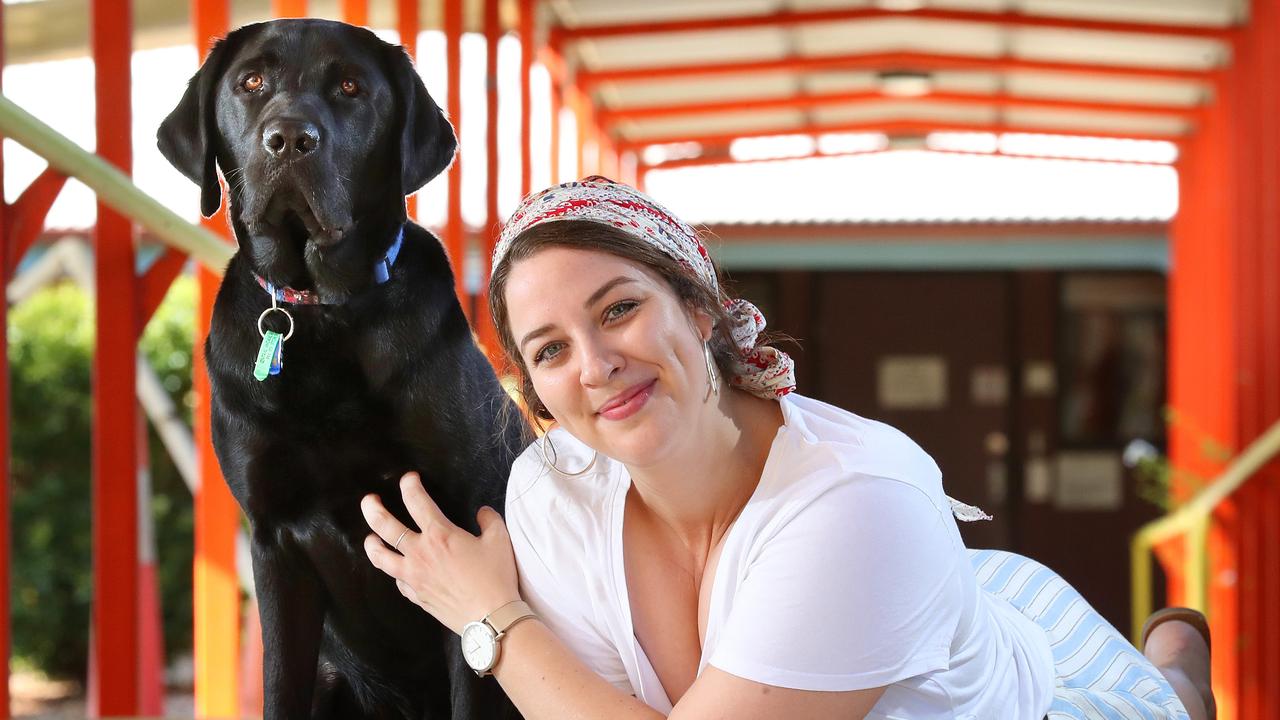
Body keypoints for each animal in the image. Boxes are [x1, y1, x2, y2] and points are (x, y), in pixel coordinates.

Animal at [158, 18, 524, 717]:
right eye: (251, 81)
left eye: (351, 87)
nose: (290, 138)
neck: (322, 313)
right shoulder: (275, 543)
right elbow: (280, 684)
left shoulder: (464, 530)